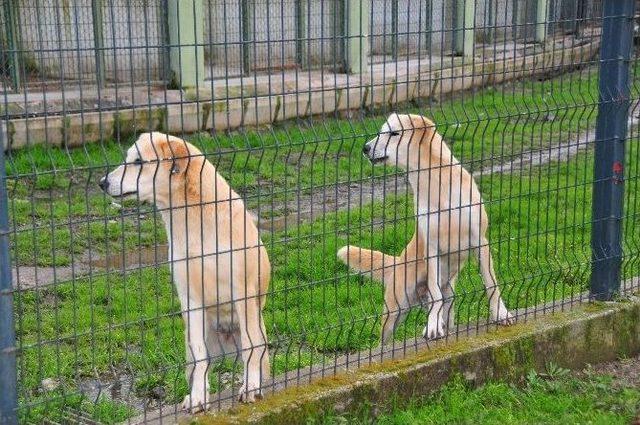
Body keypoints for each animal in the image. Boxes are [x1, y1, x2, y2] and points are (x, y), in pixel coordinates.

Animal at [99, 132, 270, 410]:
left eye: (138, 161)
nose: (102, 182)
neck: (194, 218)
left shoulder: (243, 293)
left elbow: (249, 348)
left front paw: (251, 387)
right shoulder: (190, 300)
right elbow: (201, 358)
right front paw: (198, 397)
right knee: (201, 363)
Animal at [338, 114, 512, 342]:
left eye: (394, 133)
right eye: (381, 131)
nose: (365, 148)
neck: (436, 184)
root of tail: (397, 262)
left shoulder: (480, 241)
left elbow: (491, 283)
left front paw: (501, 313)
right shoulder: (432, 248)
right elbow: (435, 294)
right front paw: (432, 327)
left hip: (447, 299)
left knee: (443, 307)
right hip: (394, 311)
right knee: (388, 336)